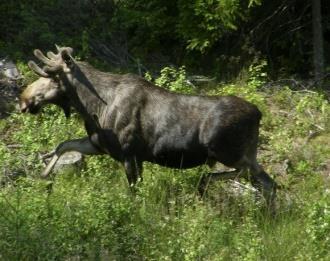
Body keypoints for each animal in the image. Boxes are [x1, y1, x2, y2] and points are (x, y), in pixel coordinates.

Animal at [20, 46, 278, 203]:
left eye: (53, 77)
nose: (24, 99)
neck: (93, 107)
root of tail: (258, 113)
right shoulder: (100, 145)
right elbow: (63, 145)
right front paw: (43, 173)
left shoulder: (129, 154)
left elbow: (134, 192)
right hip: (245, 154)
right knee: (269, 183)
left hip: (229, 153)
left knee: (257, 179)